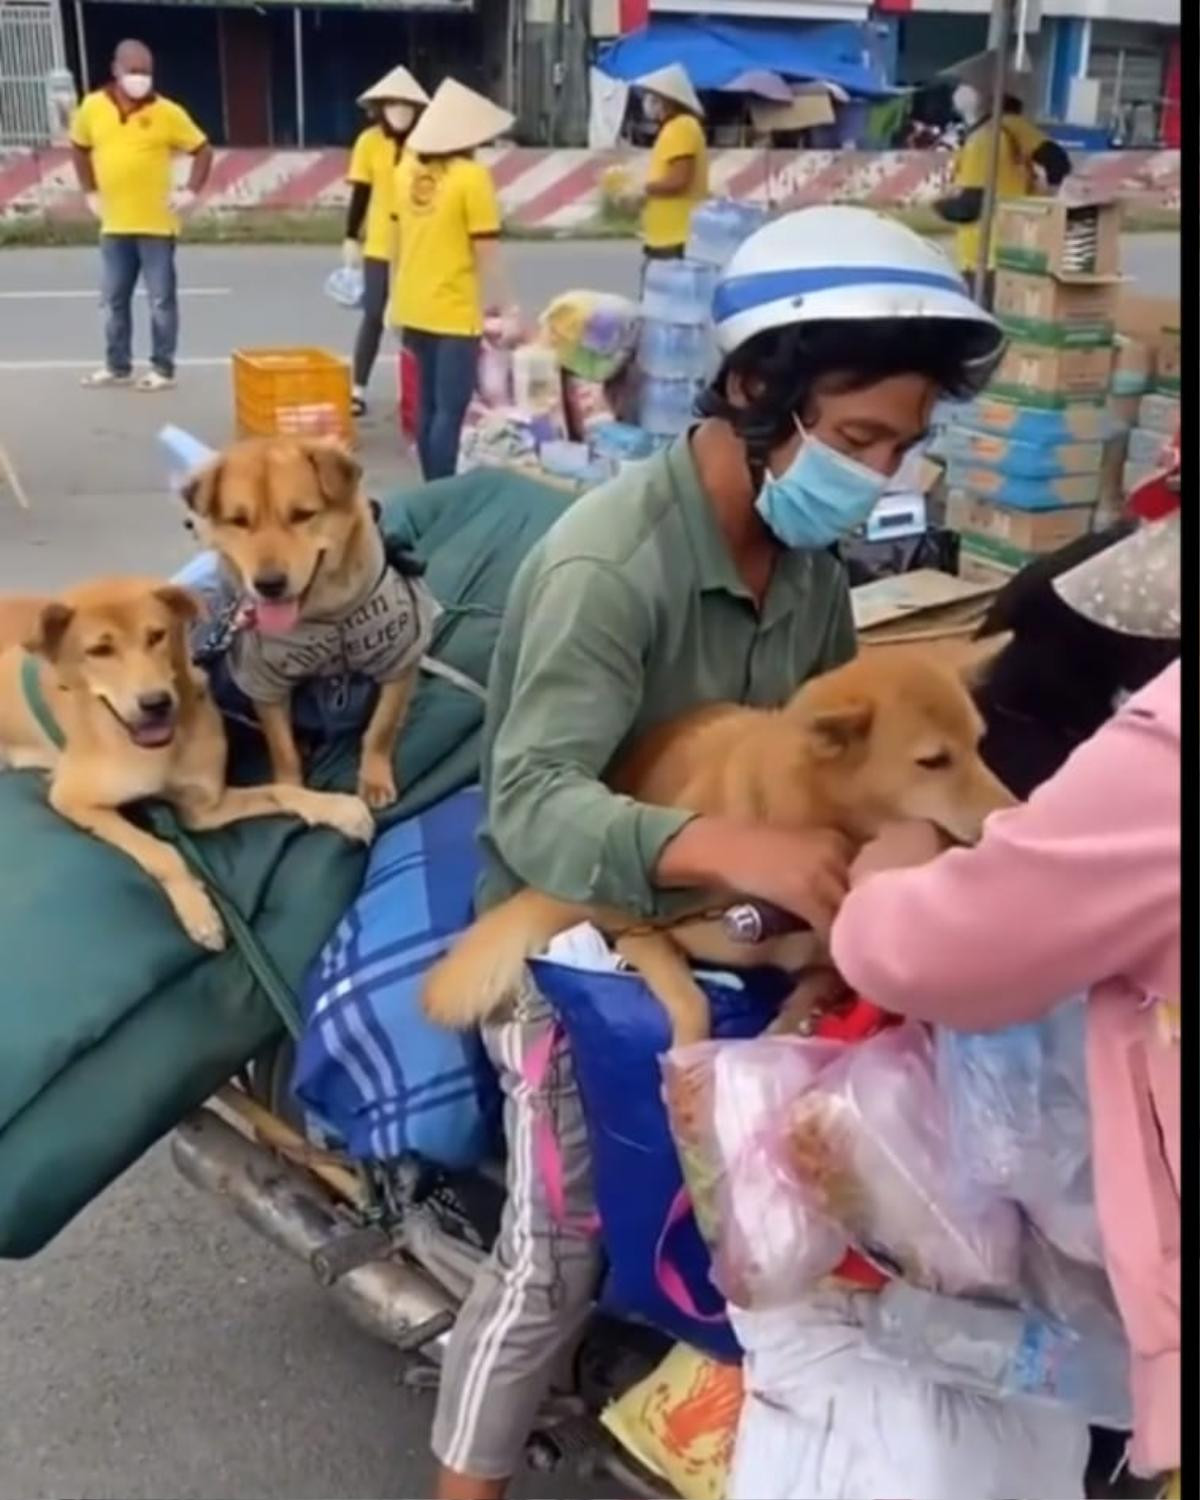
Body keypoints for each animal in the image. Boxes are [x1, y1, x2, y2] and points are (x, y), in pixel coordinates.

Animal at [0, 576, 372, 948]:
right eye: (99, 651)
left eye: (156, 635)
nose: (155, 703)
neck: (157, 750)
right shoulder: (73, 800)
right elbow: (161, 851)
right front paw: (197, 910)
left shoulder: (204, 808)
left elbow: (280, 791)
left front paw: (338, 809)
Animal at [423, 642, 1014, 1044]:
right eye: (933, 761)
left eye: (980, 745)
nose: (1012, 817)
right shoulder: (626, 925)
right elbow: (691, 1003)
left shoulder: (826, 963)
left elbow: (804, 999)